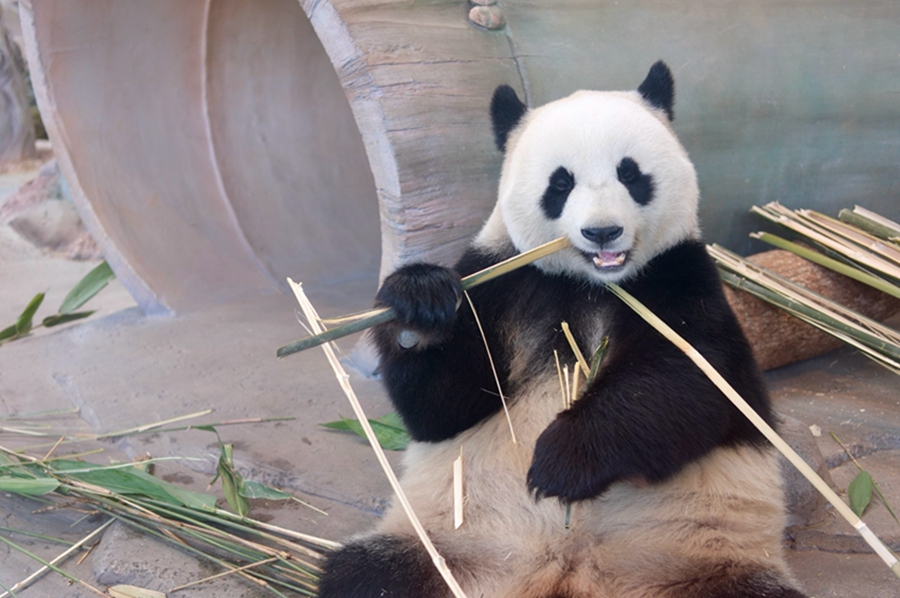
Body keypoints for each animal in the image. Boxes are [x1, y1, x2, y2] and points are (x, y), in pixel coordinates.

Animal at [318, 61, 806, 598]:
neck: (592, 284)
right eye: (560, 184)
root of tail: (563, 573)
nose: (602, 232)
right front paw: (418, 304)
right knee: (367, 573)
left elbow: (689, 379)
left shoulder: (679, 276)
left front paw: (563, 463)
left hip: (700, 559)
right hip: (451, 549)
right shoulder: (502, 279)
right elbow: (444, 408)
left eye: (630, 173)